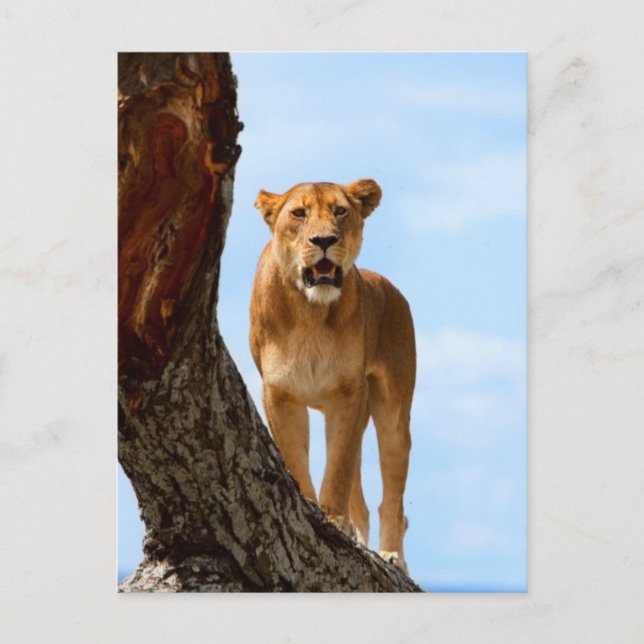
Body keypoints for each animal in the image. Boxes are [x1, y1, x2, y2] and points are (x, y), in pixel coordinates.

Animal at [250, 179, 416, 573]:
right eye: (299, 213)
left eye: (340, 211)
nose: (324, 240)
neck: (311, 312)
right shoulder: (280, 394)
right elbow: (296, 458)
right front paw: (310, 508)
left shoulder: (348, 394)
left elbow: (337, 469)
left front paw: (333, 520)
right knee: (364, 505)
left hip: (391, 412)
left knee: (392, 500)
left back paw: (391, 556)